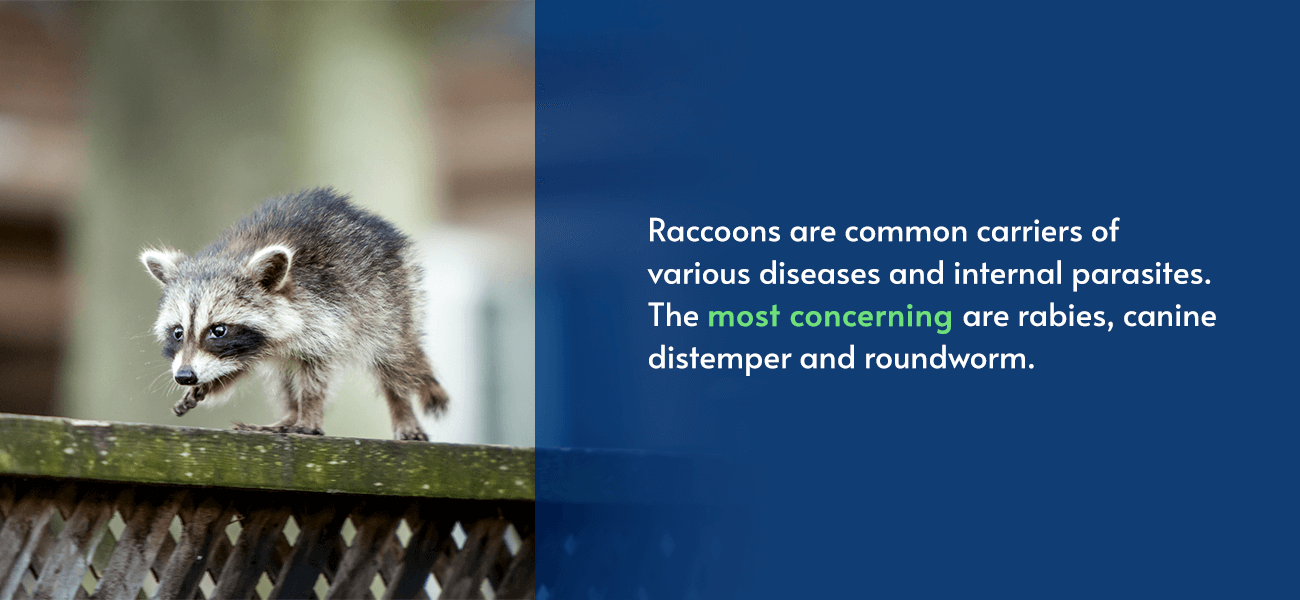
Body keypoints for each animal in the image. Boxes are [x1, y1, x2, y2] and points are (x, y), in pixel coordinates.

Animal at [139, 188, 448, 440]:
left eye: (218, 330)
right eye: (178, 332)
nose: (185, 375)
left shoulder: (326, 315)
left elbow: (316, 373)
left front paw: (309, 413)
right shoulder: (249, 349)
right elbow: (239, 367)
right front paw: (213, 383)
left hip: (388, 300)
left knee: (395, 359)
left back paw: (401, 408)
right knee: (284, 377)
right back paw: (288, 415)